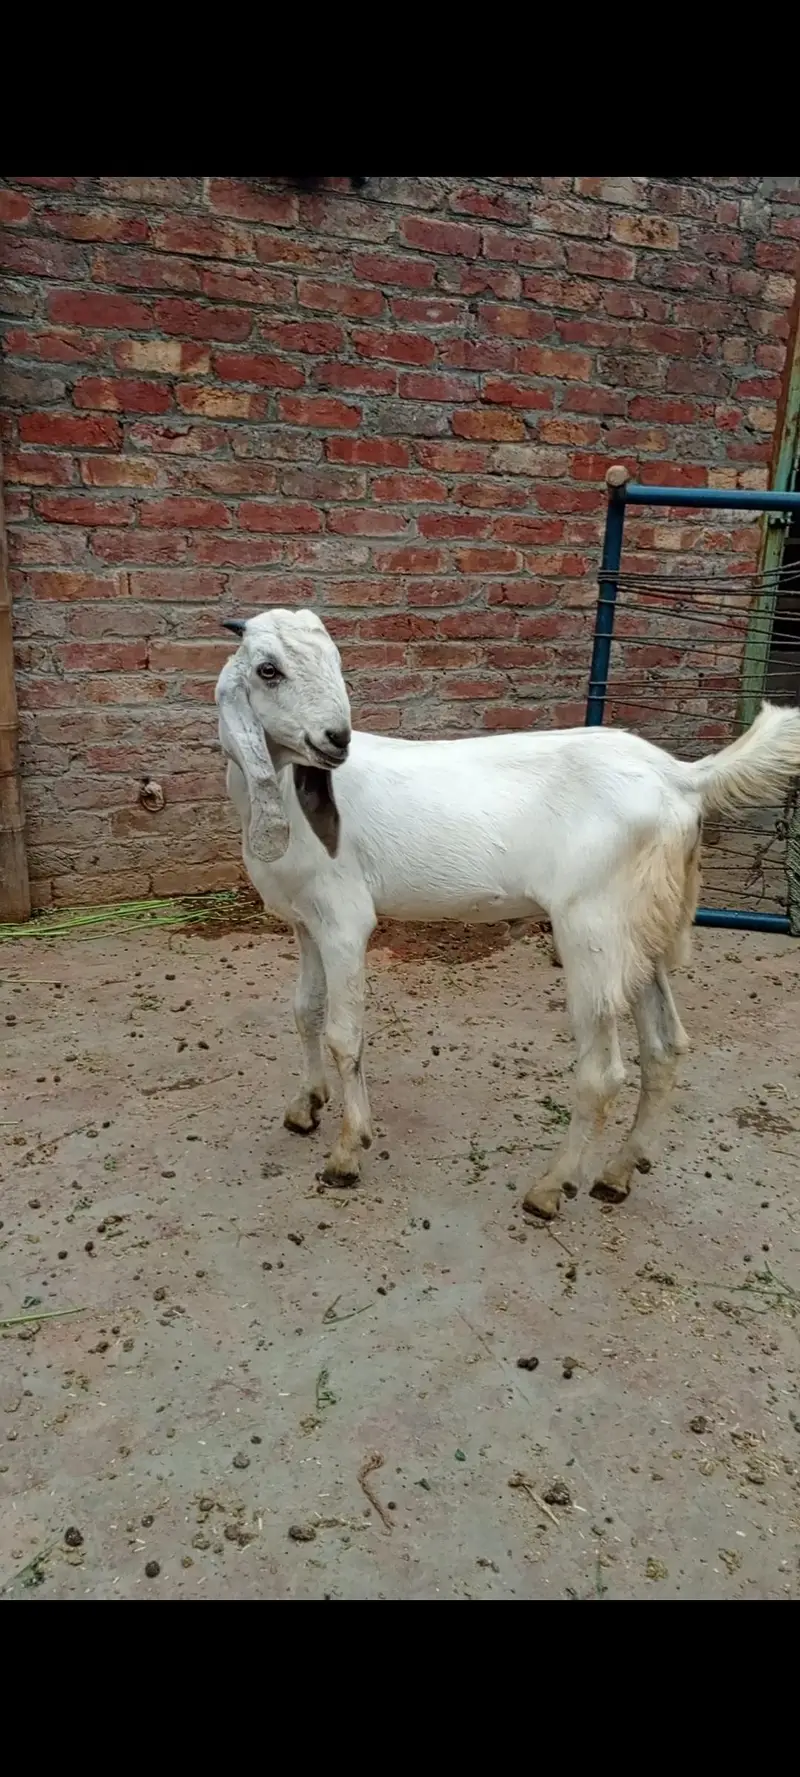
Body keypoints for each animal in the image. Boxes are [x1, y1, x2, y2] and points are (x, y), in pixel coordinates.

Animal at [216, 606, 800, 1219]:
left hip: (592, 927)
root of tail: (682, 778)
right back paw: (617, 1174)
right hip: (641, 929)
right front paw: (306, 1106)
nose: (336, 739)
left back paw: (551, 1187)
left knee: (602, 1073)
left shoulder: (345, 921)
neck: (284, 792)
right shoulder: (305, 921)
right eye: (268, 670)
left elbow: (342, 1034)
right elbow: (305, 1011)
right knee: (664, 1047)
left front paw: (348, 1152)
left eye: (334, 661)